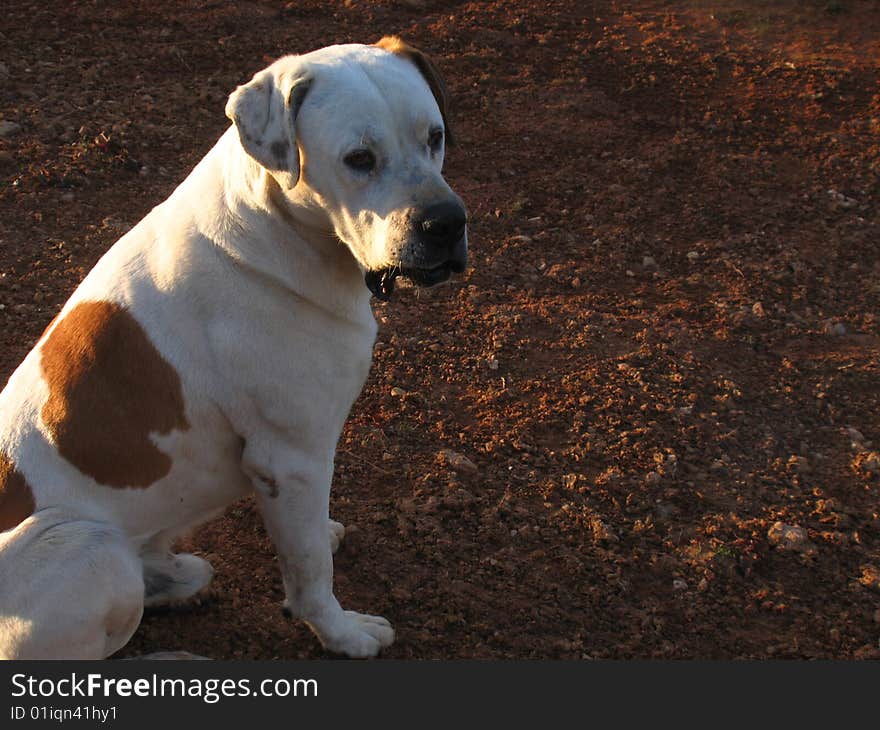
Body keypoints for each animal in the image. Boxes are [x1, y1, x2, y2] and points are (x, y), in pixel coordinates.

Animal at [0, 35, 468, 660]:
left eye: (434, 136)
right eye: (358, 159)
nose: (446, 223)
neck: (277, 225)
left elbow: (308, 542)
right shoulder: (289, 460)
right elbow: (310, 573)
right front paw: (343, 634)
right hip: (91, 549)